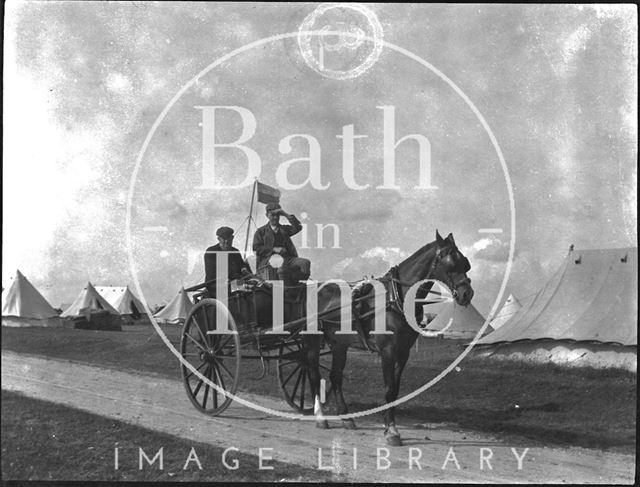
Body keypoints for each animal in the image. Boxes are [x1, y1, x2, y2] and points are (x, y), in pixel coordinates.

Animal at [310, 231, 476, 448]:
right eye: (449, 263)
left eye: (465, 263)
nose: (466, 294)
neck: (397, 299)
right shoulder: (387, 351)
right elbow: (389, 389)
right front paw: (391, 431)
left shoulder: (403, 352)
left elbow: (395, 390)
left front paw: (390, 426)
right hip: (312, 342)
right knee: (313, 375)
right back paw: (320, 417)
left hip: (339, 345)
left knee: (335, 377)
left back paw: (346, 417)